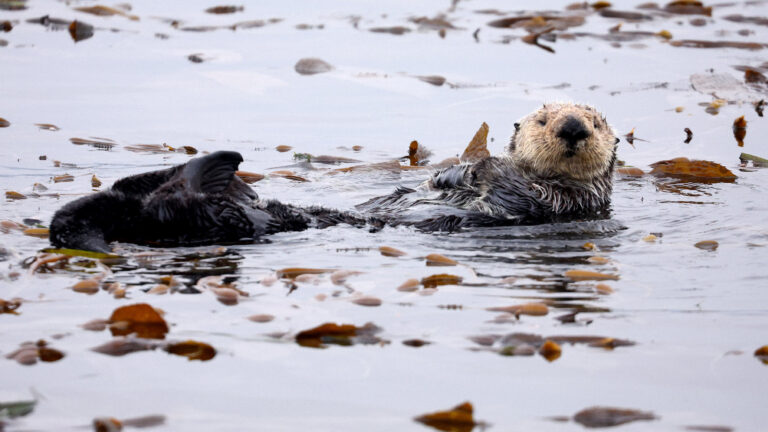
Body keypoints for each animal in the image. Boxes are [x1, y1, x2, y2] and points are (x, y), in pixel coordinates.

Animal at [49, 103, 617, 253]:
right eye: (543, 120)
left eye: (595, 121)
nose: (572, 127)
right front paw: (452, 170)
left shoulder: (565, 201)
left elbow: (510, 188)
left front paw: (475, 167)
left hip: (216, 217)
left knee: (182, 201)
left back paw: (216, 164)